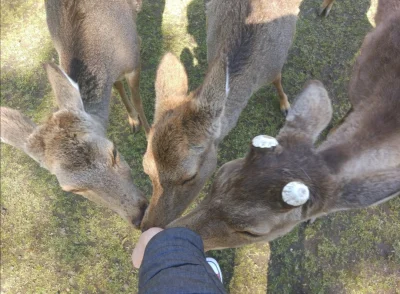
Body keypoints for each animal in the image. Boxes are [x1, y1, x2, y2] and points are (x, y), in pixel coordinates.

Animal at [0, 0, 150, 227]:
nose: (139, 216)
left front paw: (149, 135)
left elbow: (138, 100)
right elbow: (117, 85)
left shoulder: (133, 61)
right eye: (73, 189)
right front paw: (133, 121)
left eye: (114, 152)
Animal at [141, 0, 306, 230]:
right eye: (146, 169)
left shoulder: (277, 62)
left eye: (189, 176)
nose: (147, 226)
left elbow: (278, 79)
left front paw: (286, 106)